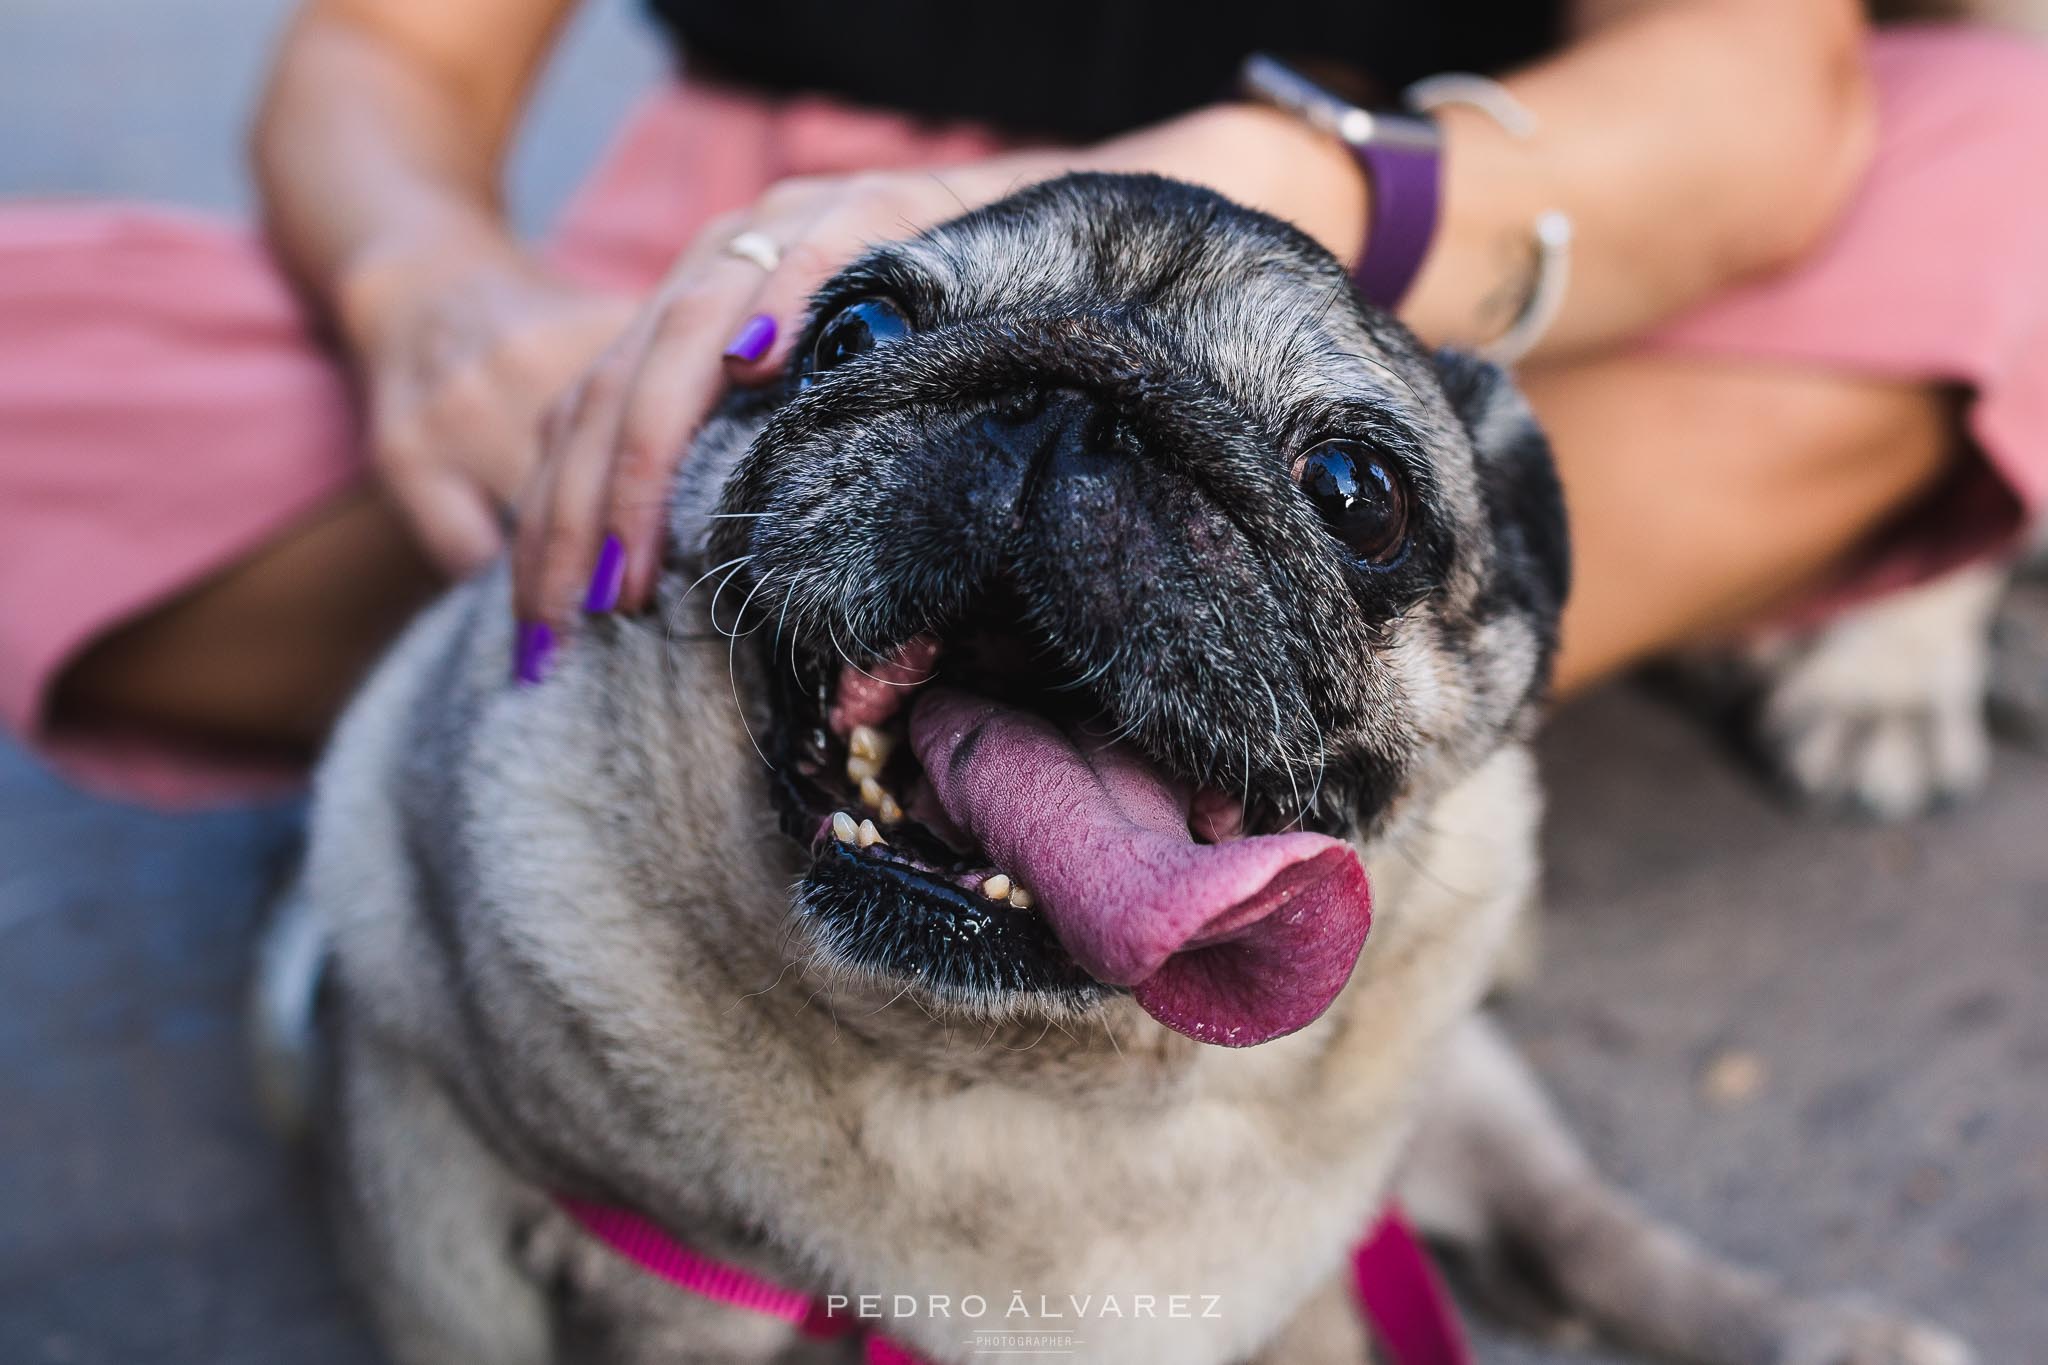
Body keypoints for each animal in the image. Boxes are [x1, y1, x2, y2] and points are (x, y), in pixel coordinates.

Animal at [272, 173, 1966, 1365]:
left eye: (1359, 494)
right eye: (851, 336)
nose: (1071, 390)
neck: (1040, 1089)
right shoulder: (668, 1305)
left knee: (1582, 1226)